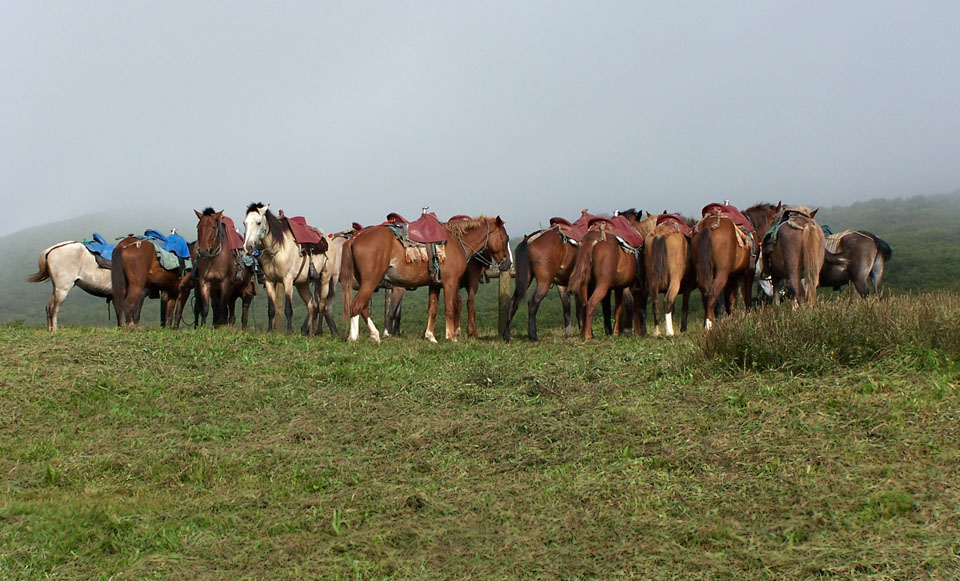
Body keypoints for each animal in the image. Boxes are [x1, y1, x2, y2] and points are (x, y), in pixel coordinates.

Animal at [344, 215, 512, 342]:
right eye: (505, 238)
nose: (508, 263)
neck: (456, 242)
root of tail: (355, 238)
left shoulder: (435, 284)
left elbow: (433, 309)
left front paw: (430, 336)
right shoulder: (450, 282)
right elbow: (450, 308)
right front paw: (451, 337)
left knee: (362, 307)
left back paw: (372, 335)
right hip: (370, 281)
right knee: (357, 305)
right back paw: (356, 337)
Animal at [568, 210, 656, 340]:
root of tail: (592, 240)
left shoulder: (619, 287)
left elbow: (617, 309)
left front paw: (615, 332)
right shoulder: (636, 287)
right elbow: (636, 308)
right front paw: (638, 333)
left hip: (585, 284)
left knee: (584, 305)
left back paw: (584, 333)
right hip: (602, 285)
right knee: (591, 304)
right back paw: (588, 335)